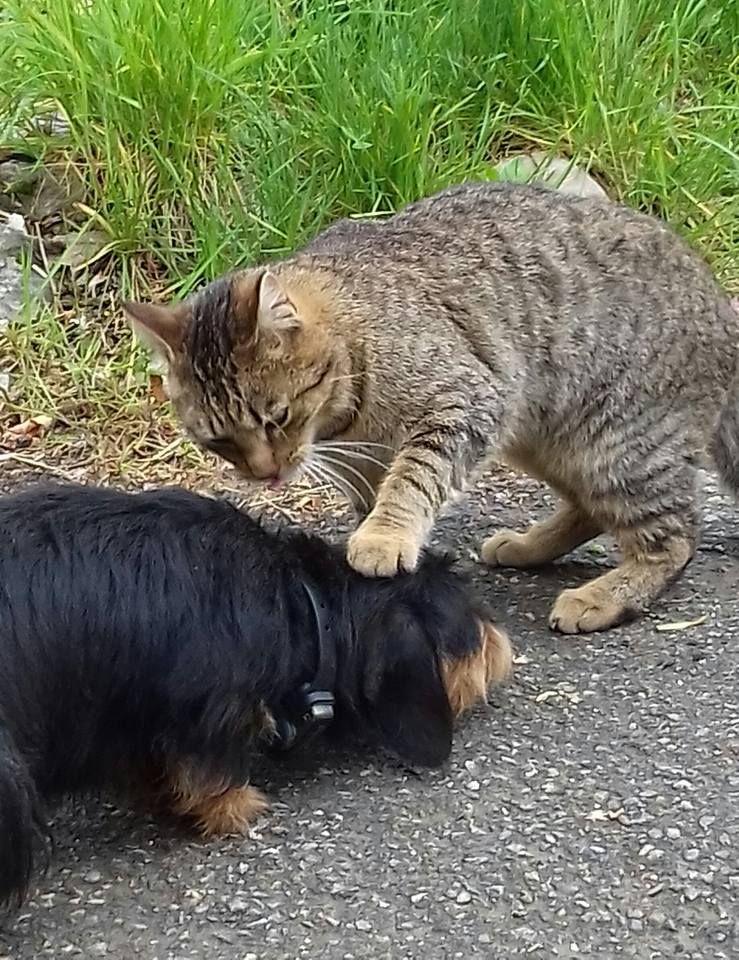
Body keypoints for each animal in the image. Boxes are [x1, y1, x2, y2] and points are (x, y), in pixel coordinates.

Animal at [0, 484, 512, 904]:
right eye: (469, 617)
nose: (507, 647)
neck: (304, 603)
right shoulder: (209, 712)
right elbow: (213, 773)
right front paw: (238, 810)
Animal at [123, 183, 739, 632]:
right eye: (219, 440)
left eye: (276, 417)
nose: (265, 475)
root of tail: (721, 304)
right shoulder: (373, 456)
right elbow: (375, 493)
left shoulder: (466, 402)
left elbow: (413, 478)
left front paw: (384, 536)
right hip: (546, 438)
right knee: (593, 509)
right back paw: (528, 546)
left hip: (618, 443)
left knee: (676, 537)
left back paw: (604, 595)